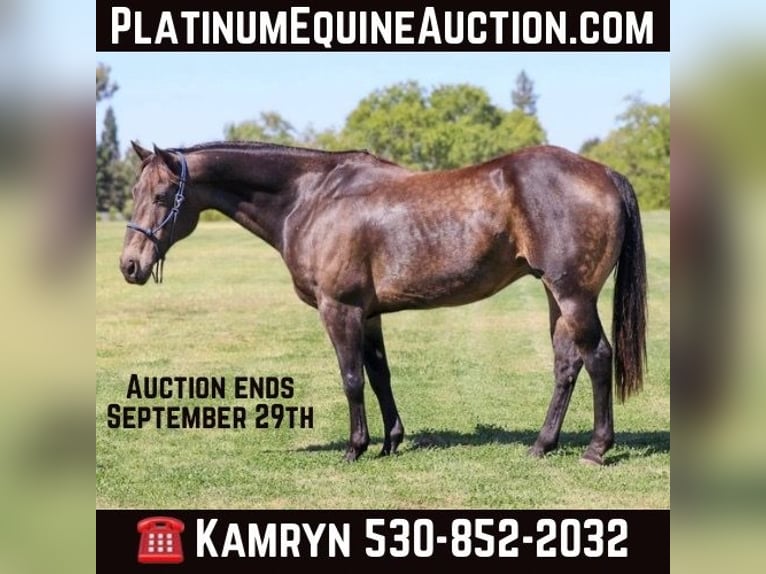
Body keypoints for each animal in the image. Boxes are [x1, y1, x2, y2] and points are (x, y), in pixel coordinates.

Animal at [120, 140, 647, 465]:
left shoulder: (340, 309)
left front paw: (356, 447)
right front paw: (391, 442)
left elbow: (352, 379)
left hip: (574, 295)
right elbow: (379, 376)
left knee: (598, 358)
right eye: (134, 190)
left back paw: (596, 449)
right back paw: (541, 445)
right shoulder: (368, 314)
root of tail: (604, 172)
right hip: (556, 295)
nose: (129, 265)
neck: (311, 198)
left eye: (163, 195)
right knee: (566, 365)